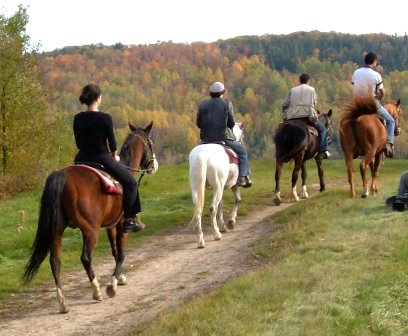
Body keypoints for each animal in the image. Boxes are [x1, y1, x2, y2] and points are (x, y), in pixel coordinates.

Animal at [20, 121, 159, 316]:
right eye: (150, 142)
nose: (154, 166)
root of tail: (61, 175)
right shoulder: (121, 226)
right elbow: (121, 254)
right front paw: (112, 285)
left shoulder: (110, 226)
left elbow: (114, 251)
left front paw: (120, 277)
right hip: (90, 230)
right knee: (85, 258)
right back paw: (97, 291)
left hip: (57, 229)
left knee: (55, 262)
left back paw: (63, 303)